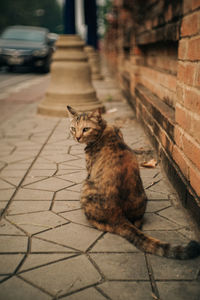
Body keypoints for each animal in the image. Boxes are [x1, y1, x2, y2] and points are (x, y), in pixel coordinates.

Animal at [67, 106, 200, 260]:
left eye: (86, 129)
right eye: (73, 128)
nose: (77, 137)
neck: (104, 130)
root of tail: (117, 216)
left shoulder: (89, 169)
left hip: (86, 186)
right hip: (141, 195)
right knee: (137, 222)